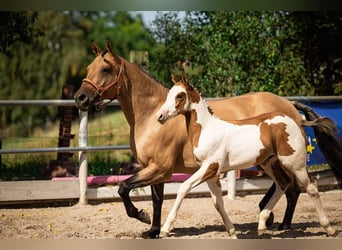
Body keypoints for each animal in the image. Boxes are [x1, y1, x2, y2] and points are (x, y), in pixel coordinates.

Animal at [156, 75, 336, 238]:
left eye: (180, 95)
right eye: (169, 94)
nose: (160, 116)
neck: (207, 129)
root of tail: (296, 120)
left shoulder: (211, 167)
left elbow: (183, 188)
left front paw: (165, 229)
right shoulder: (211, 174)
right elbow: (218, 203)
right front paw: (232, 232)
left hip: (294, 163)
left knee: (311, 187)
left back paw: (329, 228)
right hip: (269, 163)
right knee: (283, 183)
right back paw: (262, 222)